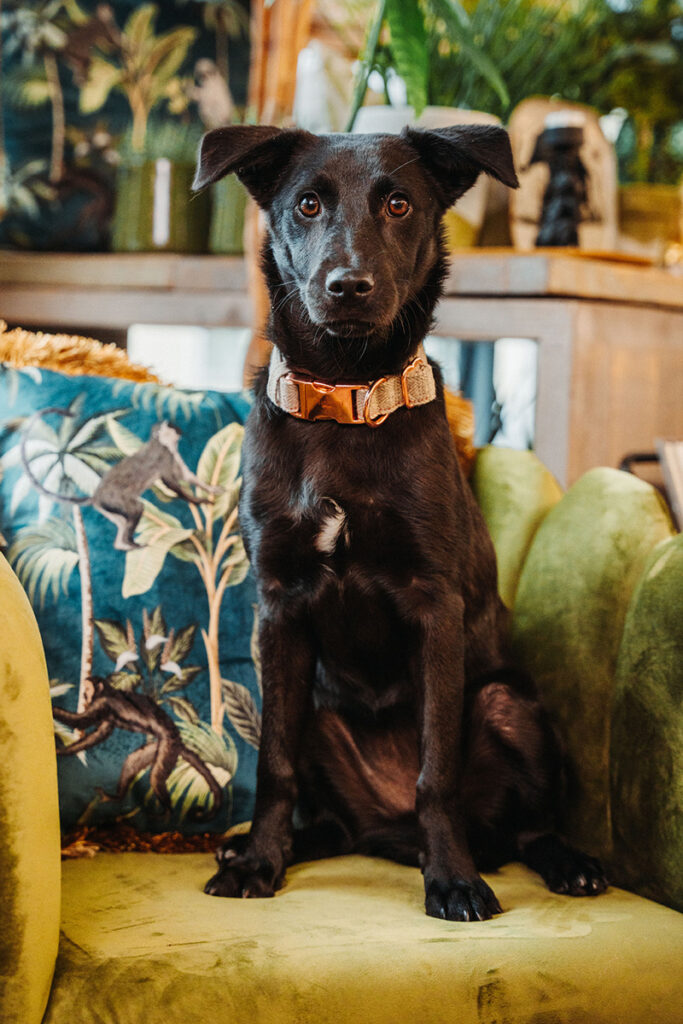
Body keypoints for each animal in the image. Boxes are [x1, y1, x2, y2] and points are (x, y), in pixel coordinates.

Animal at [193, 123, 610, 925]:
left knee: (525, 826)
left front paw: (453, 882)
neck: (346, 397)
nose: (347, 285)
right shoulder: (279, 609)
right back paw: (269, 846)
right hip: (316, 710)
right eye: (307, 204)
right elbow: (273, 769)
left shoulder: (433, 606)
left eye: (397, 204)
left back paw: (562, 862)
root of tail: (385, 830)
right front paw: (259, 861)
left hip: (506, 703)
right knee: (327, 818)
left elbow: (434, 772)